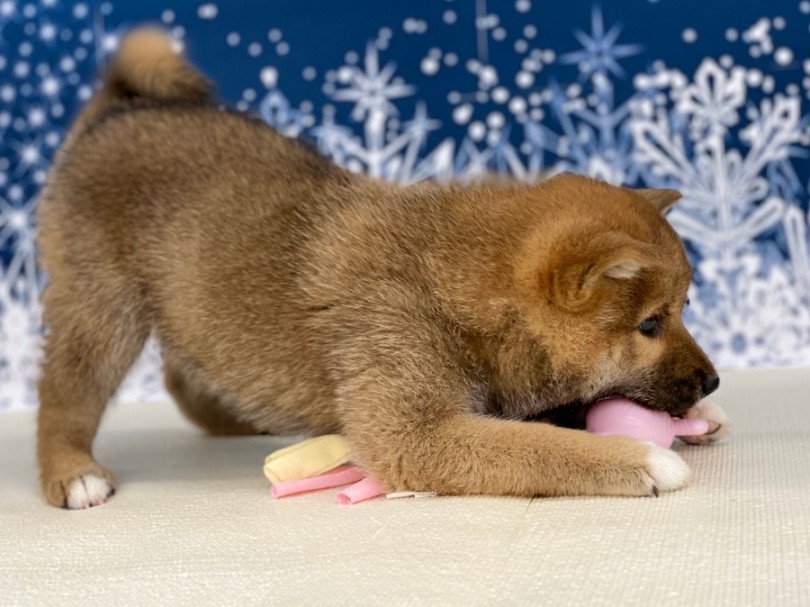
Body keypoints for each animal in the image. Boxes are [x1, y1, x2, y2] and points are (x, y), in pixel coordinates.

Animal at [36, 30, 724, 510]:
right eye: (651, 324)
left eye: (684, 312)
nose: (713, 381)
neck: (445, 282)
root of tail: (114, 114)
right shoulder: (414, 431)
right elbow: (540, 448)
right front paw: (640, 458)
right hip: (101, 312)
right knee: (63, 395)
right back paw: (72, 472)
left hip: (190, 302)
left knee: (185, 376)